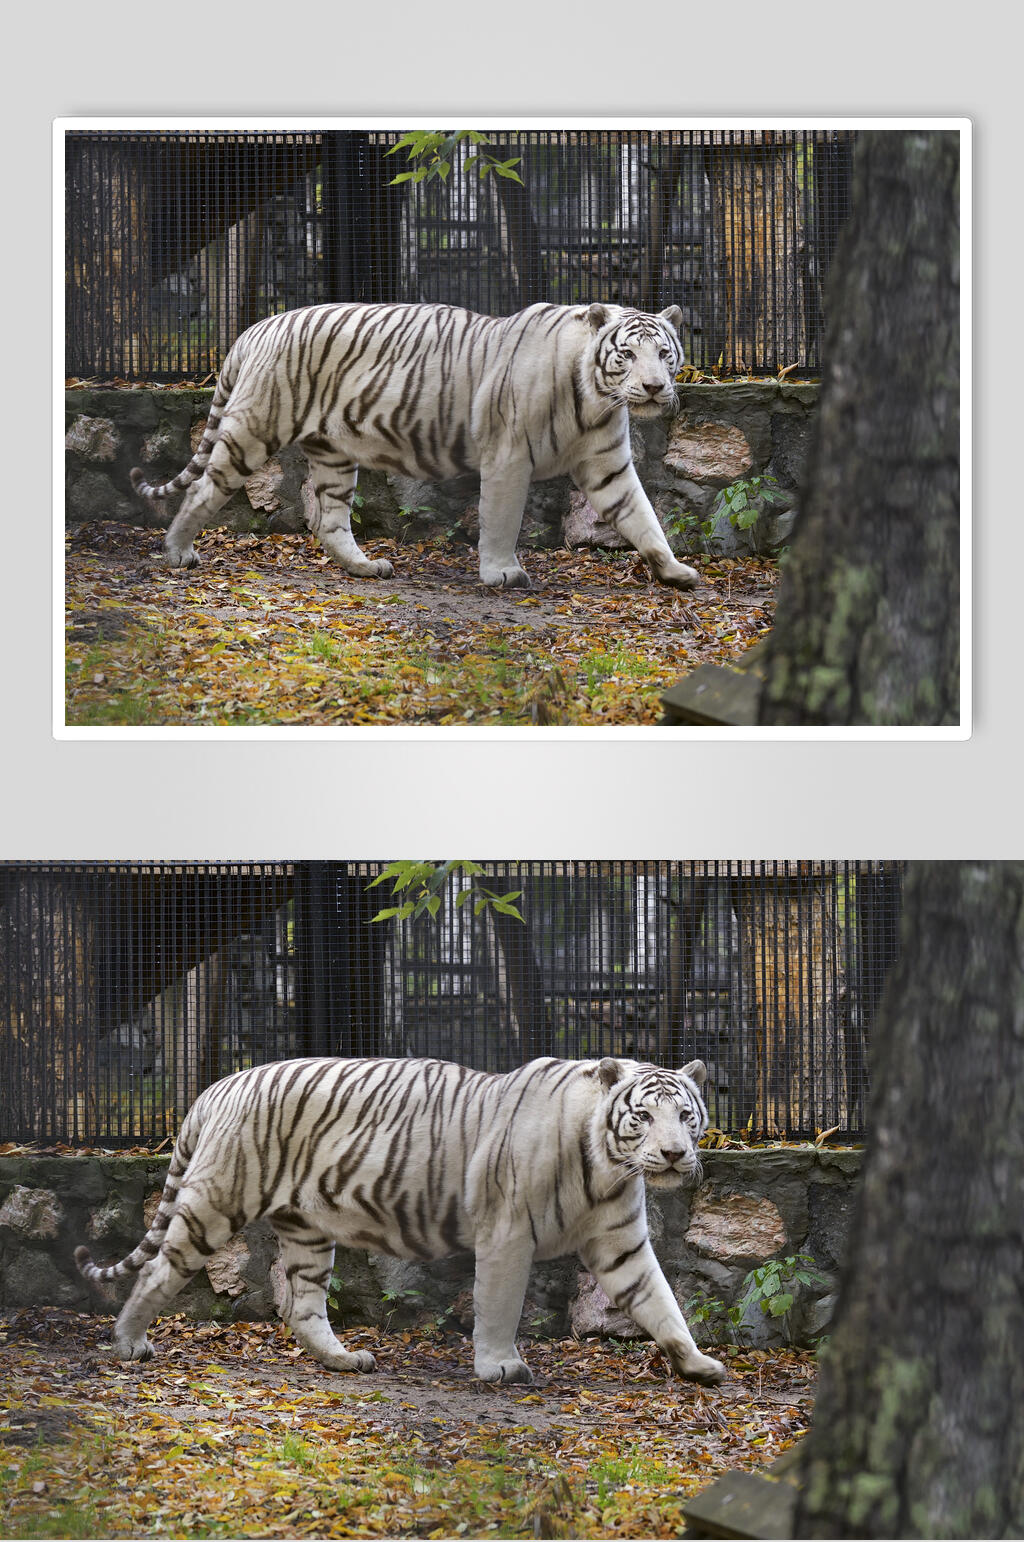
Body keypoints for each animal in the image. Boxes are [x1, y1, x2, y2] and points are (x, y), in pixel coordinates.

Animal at [75, 1055, 726, 1387]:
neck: (606, 1168)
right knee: (158, 1270)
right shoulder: (507, 1234)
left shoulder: (621, 1242)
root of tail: (216, 1087)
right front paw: (500, 1366)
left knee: (303, 1307)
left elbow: (660, 1302)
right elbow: (499, 1305)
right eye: (643, 1117)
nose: (674, 1155)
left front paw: (696, 1363)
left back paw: (343, 1359)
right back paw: (128, 1343)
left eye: (685, 1115)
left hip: (308, 1231)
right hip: (218, 1202)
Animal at [130, 301, 700, 593]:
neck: (595, 400)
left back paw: (366, 567)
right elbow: (501, 520)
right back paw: (177, 552)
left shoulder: (608, 465)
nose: (654, 388)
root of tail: (254, 328)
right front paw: (501, 572)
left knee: (329, 521)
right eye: (627, 354)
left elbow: (642, 517)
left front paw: (673, 570)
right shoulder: (508, 458)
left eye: (664, 353)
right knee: (203, 489)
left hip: (334, 454)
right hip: (255, 429)